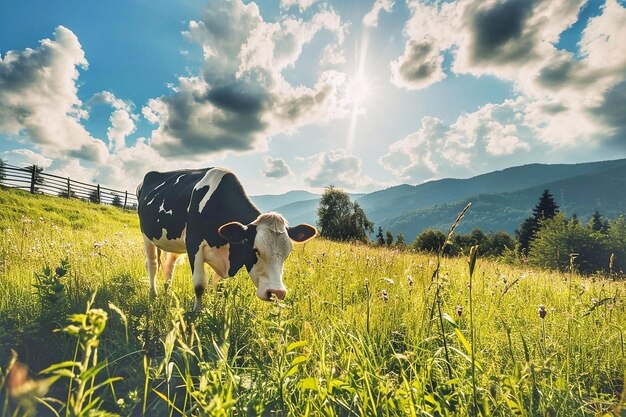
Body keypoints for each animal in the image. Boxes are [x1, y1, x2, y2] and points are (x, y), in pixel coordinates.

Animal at [134, 166, 314, 308]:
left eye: (288, 253)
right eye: (255, 250)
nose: (277, 292)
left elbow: (218, 287)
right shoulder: (194, 244)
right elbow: (199, 284)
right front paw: (196, 314)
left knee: (169, 266)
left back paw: (168, 291)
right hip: (146, 234)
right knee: (152, 264)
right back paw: (154, 294)